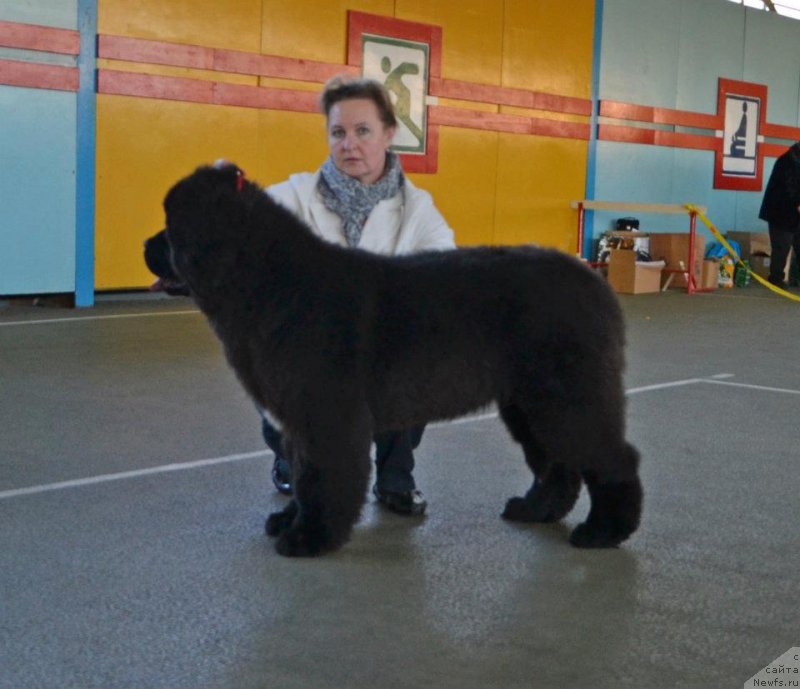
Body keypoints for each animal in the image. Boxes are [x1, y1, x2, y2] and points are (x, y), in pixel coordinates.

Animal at [145, 164, 644, 556]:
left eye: (171, 222)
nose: (146, 246)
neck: (268, 282)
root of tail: (596, 284)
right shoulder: (298, 418)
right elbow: (302, 473)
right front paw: (289, 520)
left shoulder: (324, 414)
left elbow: (320, 476)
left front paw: (309, 537)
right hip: (530, 404)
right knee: (557, 463)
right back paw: (535, 509)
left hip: (566, 397)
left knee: (612, 457)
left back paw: (604, 531)